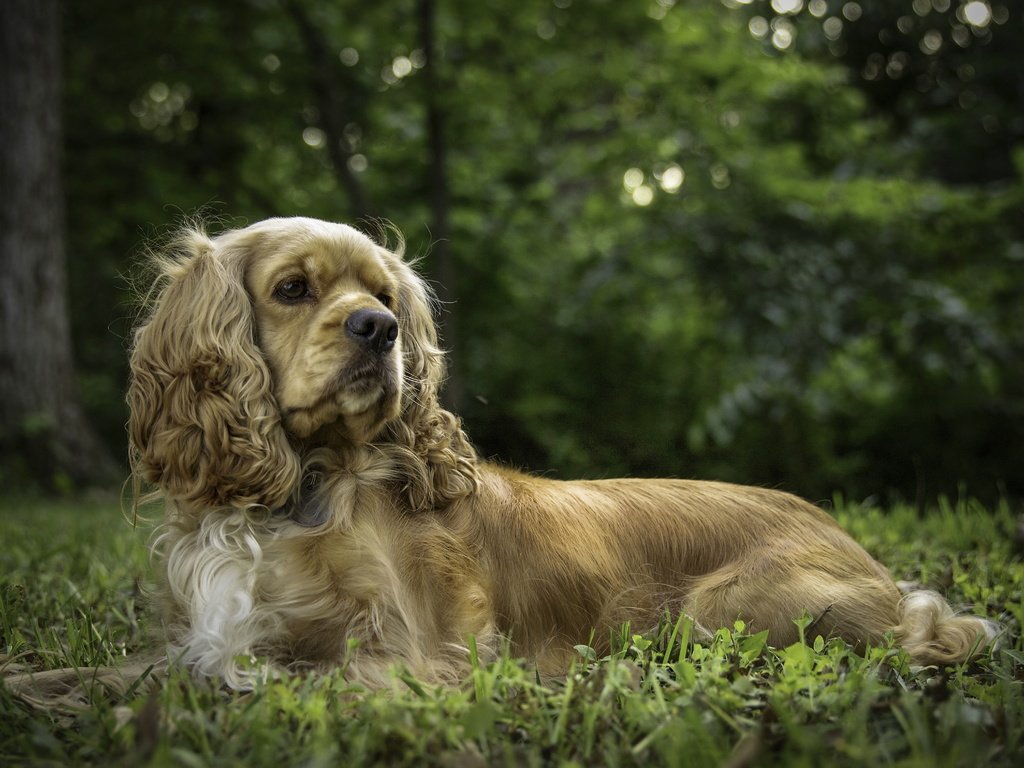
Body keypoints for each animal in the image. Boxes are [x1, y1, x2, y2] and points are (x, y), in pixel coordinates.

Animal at [123, 218, 995, 692]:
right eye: (293, 289)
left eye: (385, 295)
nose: (380, 328)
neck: (296, 494)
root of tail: (864, 552)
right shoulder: (204, 635)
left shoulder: (421, 657)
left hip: (725, 608)